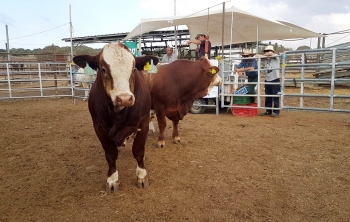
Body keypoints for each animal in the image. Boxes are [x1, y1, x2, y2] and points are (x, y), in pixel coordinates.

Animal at [74, 42, 159, 192]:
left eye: (133, 69)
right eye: (103, 69)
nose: (124, 98)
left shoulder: (142, 123)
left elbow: (138, 150)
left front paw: (142, 176)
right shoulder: (99, 127)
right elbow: (110, 154)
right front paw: (112, 179)